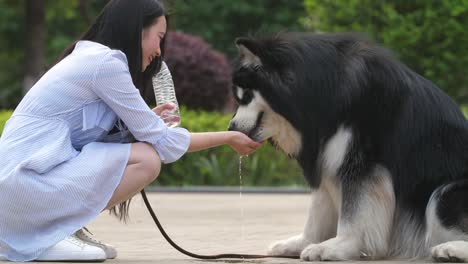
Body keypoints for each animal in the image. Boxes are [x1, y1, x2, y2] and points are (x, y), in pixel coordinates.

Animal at [229, 33, 468, 262]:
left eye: (246, 97)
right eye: (238, 98)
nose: (231, 127)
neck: (325, 94)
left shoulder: (361, 166)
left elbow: (353, 215)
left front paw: (337, 246)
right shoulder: (326, 159)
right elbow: (317, 212)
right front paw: (303, 242)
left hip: (444, 196)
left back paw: (451, 249)